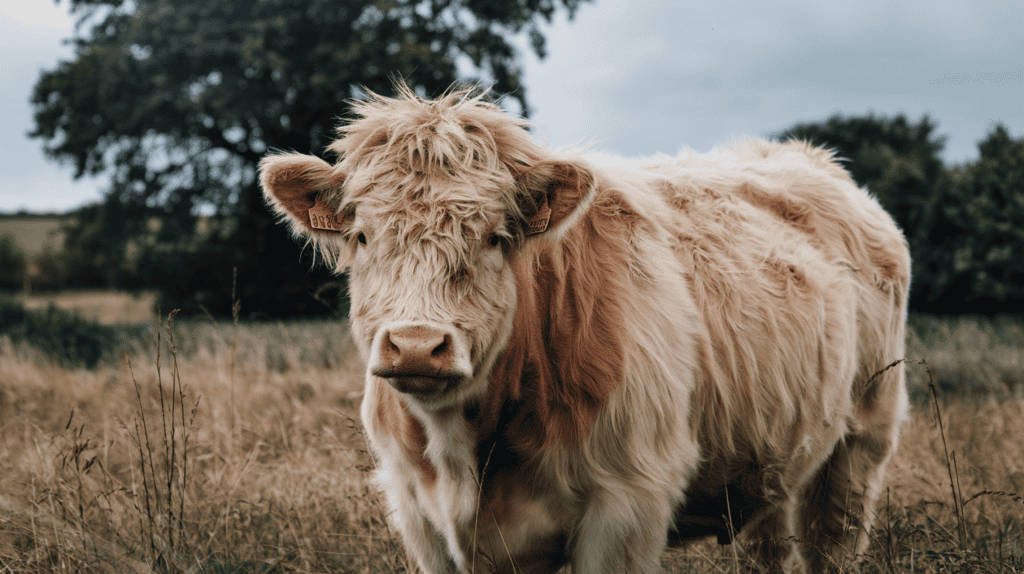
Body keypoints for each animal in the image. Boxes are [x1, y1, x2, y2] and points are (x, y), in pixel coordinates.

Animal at [260, 84, 910, 573]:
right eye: (362, 236)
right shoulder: (423, 520)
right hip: (771, 463)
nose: (417, 346)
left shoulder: (626, 508)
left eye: (494, 237)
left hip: (860, 446)